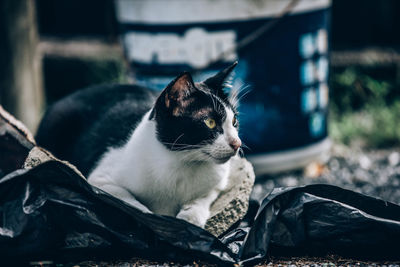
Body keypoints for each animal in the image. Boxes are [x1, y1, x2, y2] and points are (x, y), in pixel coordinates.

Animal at [36, 62, 241, 228]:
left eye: (234, 121)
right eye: (210, 122)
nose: (237, 143)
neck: (182, 162)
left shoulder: (218, 182)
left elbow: (203, 197)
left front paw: (189, 219)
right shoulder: (100, 179)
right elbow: (131, 204)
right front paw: (155, 221)